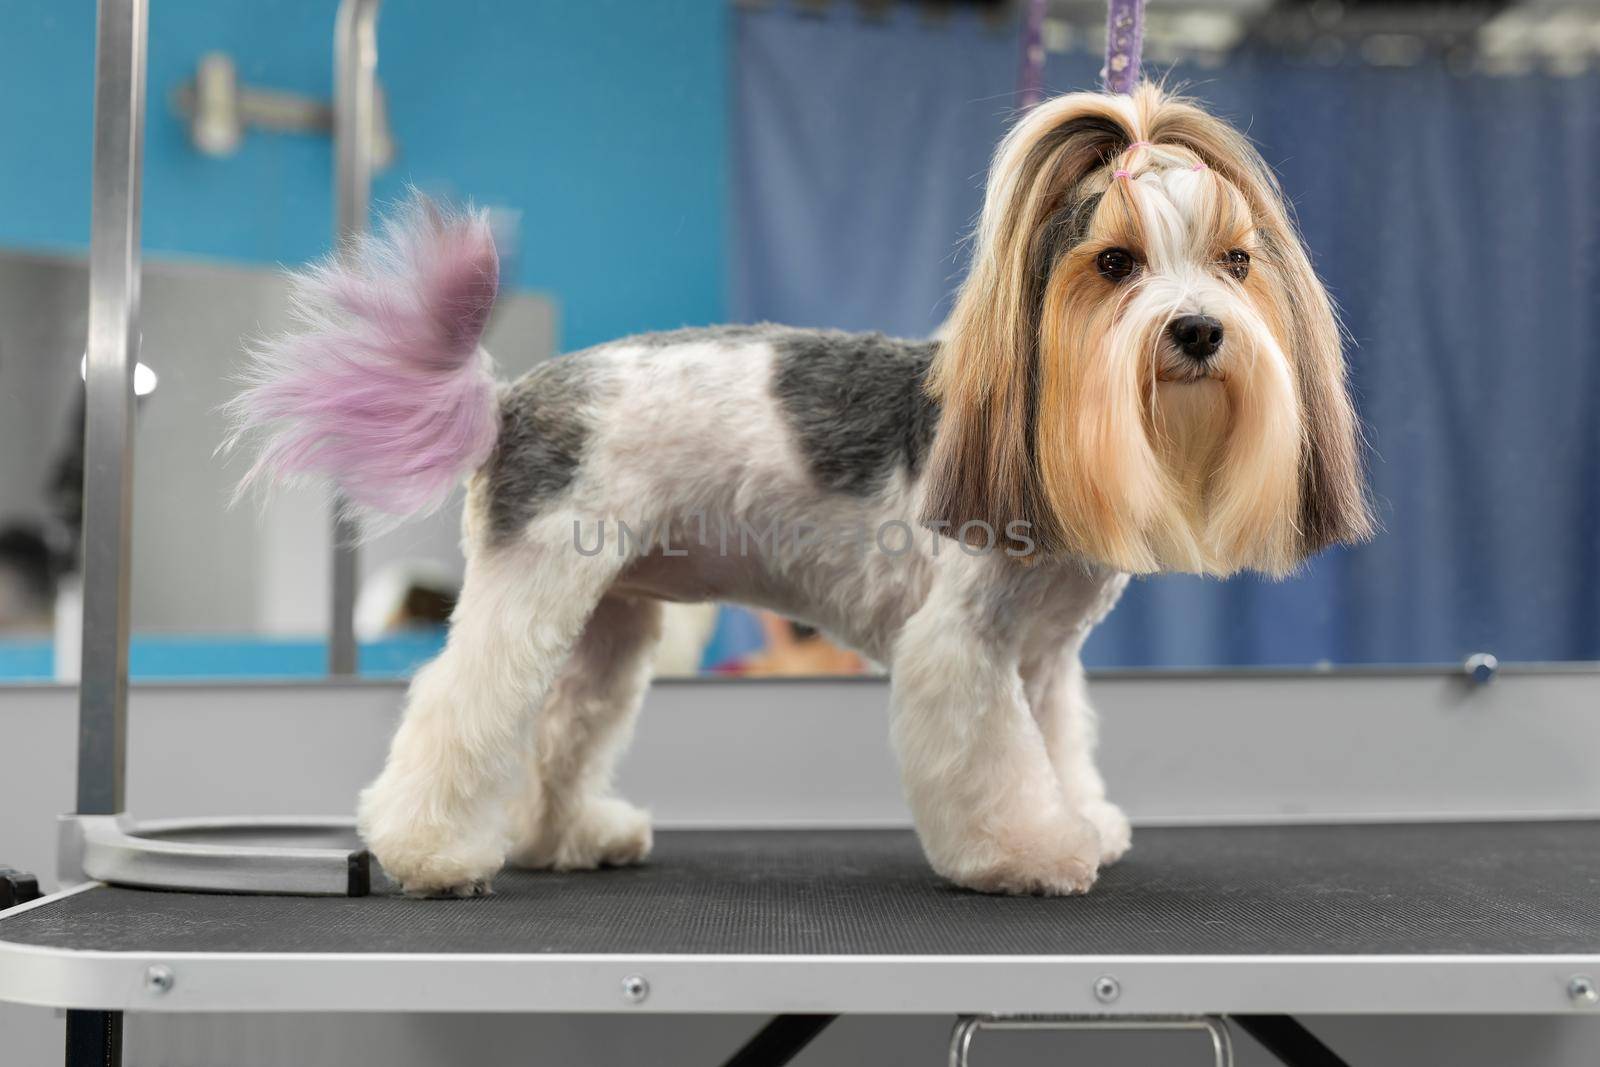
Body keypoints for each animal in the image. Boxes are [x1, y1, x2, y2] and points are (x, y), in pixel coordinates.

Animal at [232, 87, 1369, 895]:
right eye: (1118, 263)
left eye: (1235, 262)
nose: (1199, 329)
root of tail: (512, 396)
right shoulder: (963, 646)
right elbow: (996, 761)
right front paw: (1027, 851)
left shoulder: (1043, 659)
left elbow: (1057, 746)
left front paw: (1080, 817)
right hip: (532, 586)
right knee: (460, 704)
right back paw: (429, 851)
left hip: (609, 618)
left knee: (562, 724)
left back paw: (566, 836)